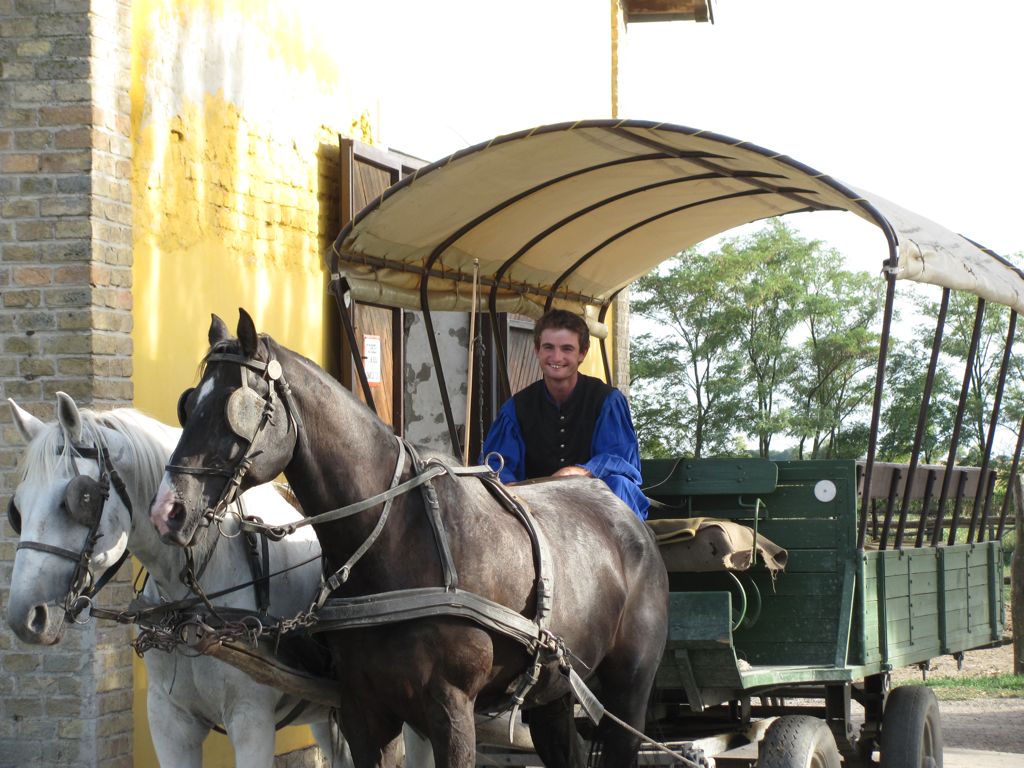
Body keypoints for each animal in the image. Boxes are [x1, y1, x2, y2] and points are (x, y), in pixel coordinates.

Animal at [4, 397, 352, 768]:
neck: (191, 609)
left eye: (81, 499)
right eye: (16, 509)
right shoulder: (168, 719)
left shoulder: (251, 720)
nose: (25, 617)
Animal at [148, 309, 667, 768]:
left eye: (236, 407)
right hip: (553, 693)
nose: (168, 511)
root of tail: (629, 520)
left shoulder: (452, 709)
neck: (394, 539)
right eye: (188, 404)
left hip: (627, 692)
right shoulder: (362, 708)